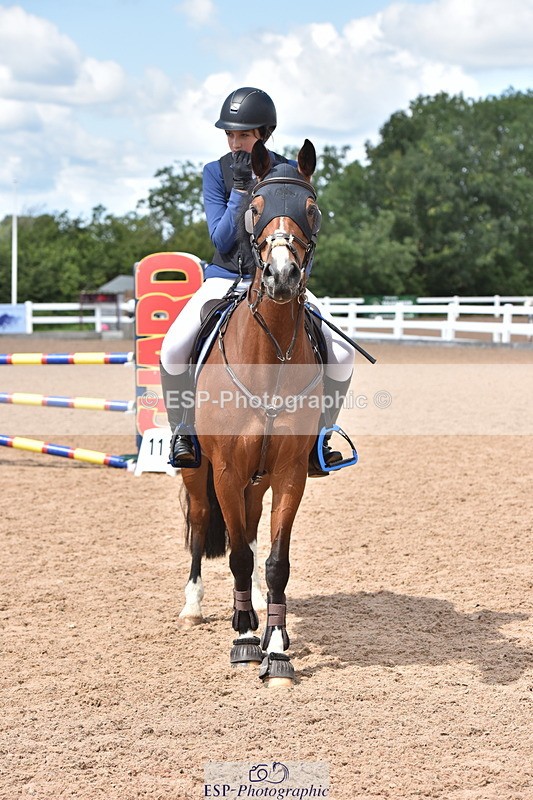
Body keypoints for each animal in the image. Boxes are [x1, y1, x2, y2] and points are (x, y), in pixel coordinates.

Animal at [178, 139, 324, 687]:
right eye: (254, 208)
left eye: (311, 209)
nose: (281, 277)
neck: (270, 359)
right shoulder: (224, 470)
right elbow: (237, 553)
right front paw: (242, 638)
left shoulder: (288, 474)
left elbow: (276, 560)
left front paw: (276, 647)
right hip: (199, 473)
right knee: (202, 524)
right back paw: (194, 605)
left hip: (257, 482)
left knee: (255, 526)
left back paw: (259, 604)